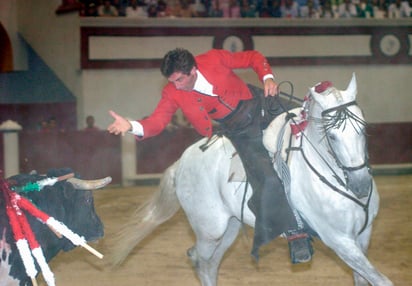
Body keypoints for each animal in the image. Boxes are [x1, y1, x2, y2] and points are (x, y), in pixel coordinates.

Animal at [106, 75, 392, 286]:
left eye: (363, 128)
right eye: (331, 136)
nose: (360, 185)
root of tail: (182, 161)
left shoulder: (362, 236)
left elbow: (363, 280)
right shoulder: (339, 240)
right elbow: (382, 281)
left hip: (230, 227)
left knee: (210, 264)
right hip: (210, 229)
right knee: (200, 260)